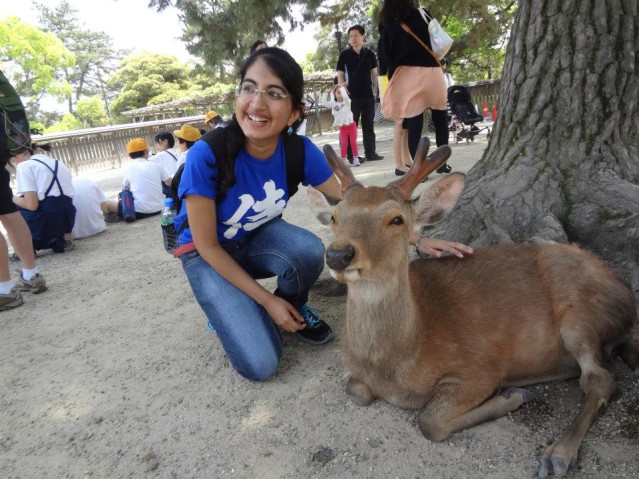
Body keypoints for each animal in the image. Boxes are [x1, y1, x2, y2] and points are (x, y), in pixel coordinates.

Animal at [308, 137, 636, 478]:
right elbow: (354, 389)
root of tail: (625, 289)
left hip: (577, 310)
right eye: (335, 217)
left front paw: (511, 397)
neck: (395, 362)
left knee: (600, 379)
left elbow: (429, 421)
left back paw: (557, 454)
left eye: (396, 219)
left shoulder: (480, 366)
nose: (338, 254)